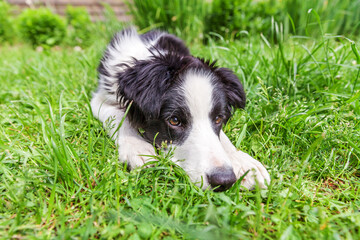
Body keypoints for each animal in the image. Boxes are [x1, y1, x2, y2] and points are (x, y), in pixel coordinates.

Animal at [91, 27, 272, 191]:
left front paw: (245, 164)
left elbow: (222, 138)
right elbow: (119, 116)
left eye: (218, 118)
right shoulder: (99, 99)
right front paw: (138, 148)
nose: (223, 181)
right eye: (174, 120)